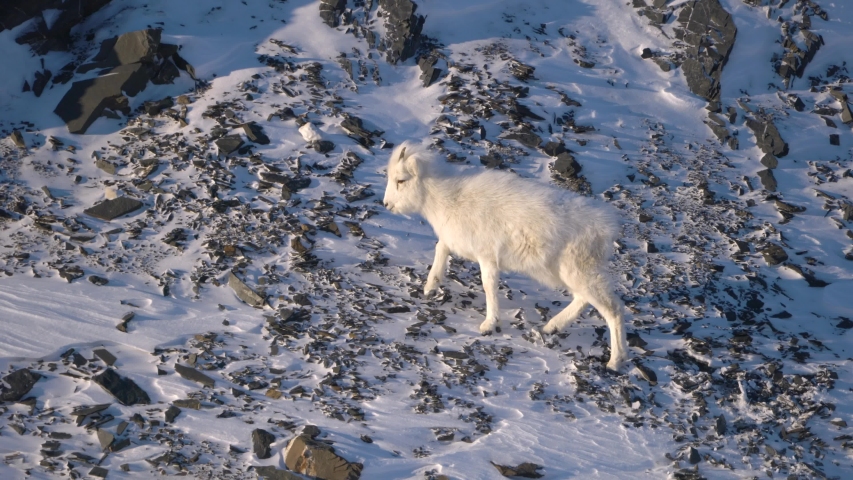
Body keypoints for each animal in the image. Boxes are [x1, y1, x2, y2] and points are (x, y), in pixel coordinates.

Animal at [382, 141, 629, 370]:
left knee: (612, 309)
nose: (386, 204)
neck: (446, 197)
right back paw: (551, 327)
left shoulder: (488, 257)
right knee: (583, 299)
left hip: (580, 272)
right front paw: (430, 288)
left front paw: (488, 325)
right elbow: (440, 249)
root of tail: (607, 227)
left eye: (401, 180)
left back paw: (614, 362)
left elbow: (488, 286)